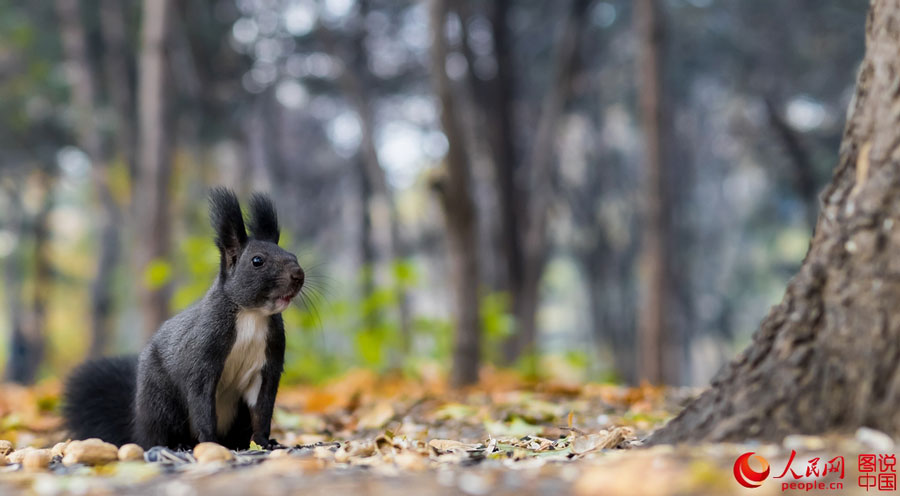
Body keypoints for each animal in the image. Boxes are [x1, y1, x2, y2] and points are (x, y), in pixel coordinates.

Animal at [62, 189, 306, 450]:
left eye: (293, 255)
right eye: (257, 261)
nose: (298, 275)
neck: (252, 315)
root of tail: (138, 428)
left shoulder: (268, 364)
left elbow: (262, 409)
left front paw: (265, 442)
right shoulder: (202, 356)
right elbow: (202, 405)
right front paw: (210, 441)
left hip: (237, 417)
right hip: (162, 402)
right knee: (160, 431)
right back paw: (178, 445)